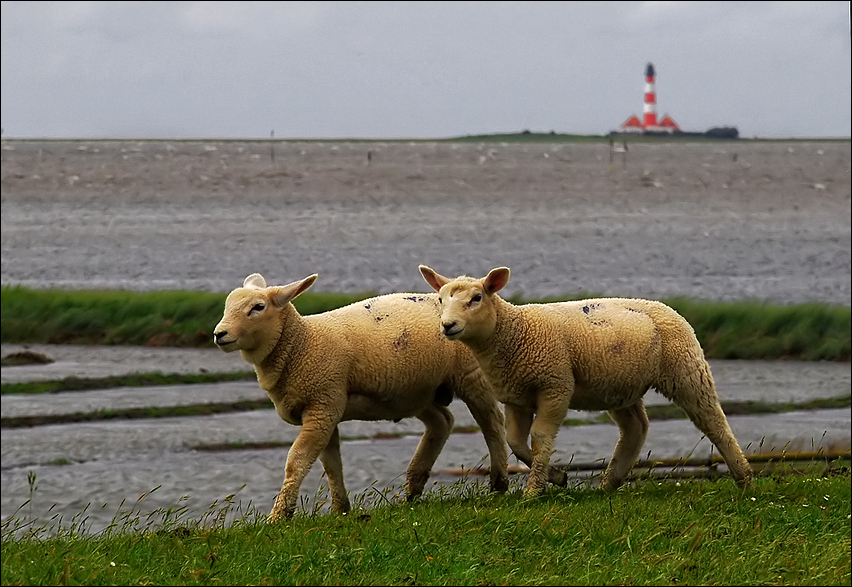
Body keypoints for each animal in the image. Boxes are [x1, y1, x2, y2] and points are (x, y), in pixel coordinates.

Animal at [213, 274, 510, 520]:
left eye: (258, 307)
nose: (219, 334)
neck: (302, 344)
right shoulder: (326, 407)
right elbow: (331, 463)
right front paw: (341, 510)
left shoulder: (323, 403)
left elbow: (296, 461)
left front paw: (279, 516)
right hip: (415, 391)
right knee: (442, 421)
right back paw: (413, 489)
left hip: (470, 374)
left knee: (492, 422)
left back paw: (499, 483)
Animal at [420, 266, 752, 500]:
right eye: (440, 300)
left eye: (476, 298)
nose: (447, 326)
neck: (514, 332)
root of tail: (664, 306)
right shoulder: (516, 395)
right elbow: (515, 442)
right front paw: (557, 477)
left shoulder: (555, 385)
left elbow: (540, 437)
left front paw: (534, 490)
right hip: (619, 386)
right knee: (635, 428)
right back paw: (609, 483)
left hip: (686, 370)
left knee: (713, 421)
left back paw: (744, 478)